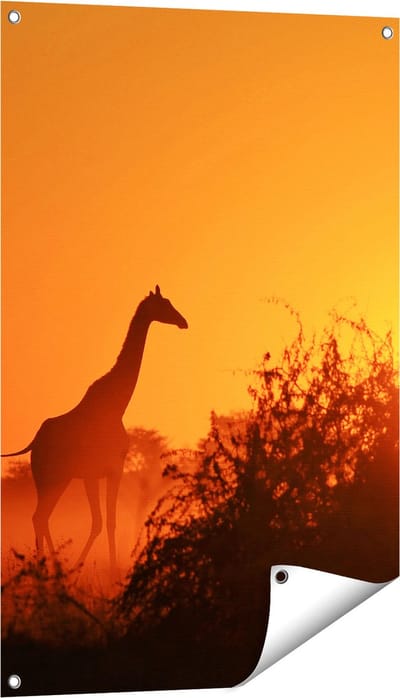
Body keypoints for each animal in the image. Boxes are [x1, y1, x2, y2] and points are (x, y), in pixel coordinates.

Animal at [1, 285, 188, 572]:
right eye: (165, 304)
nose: (183, 322)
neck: (117, 405)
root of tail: (34, 442)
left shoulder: (93, 474)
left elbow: (101, 522)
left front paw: (85, 566)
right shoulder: (114, 468)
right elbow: (106, 522)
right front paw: (107, 569)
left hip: (52, 478)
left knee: (40, 517)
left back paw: (49, 565)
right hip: (53, 477)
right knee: (40, 516)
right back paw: (50, 566)